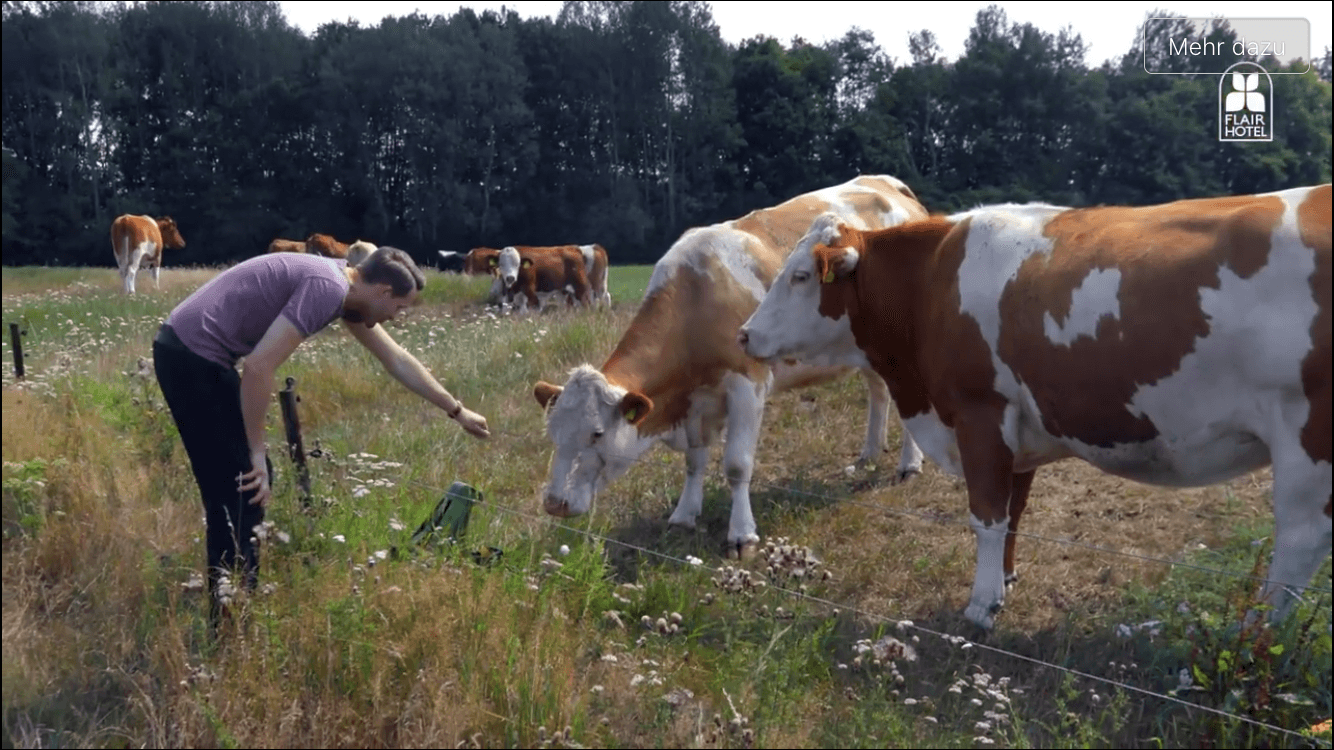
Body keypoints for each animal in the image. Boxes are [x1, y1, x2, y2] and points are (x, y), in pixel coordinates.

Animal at [530, 173, 928, 549]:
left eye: (597, 433)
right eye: (552, 433)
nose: (553, 503)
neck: (696, 299)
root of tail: (889, 185)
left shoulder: (747, 386)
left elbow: (737, 466)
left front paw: (741, 534)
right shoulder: (695, 404)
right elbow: (694, 461)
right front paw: (684, 515)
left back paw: (909, 463)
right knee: (878, 390)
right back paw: (870, 453)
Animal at [741, 182, 1334, 624]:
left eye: (800, 276)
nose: (744, 335)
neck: (931, 284)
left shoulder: (980, 414)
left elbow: (986, 515)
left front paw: (982, 605)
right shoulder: (1017, 434)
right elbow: (1014, 513)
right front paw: (1004, 579)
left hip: (1306, 440)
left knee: (1298, 546)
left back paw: (1255, 639)